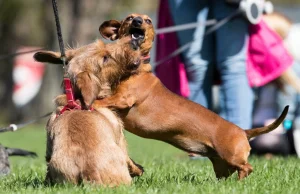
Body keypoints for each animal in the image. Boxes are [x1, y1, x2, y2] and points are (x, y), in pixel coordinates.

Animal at [34, 37, 144, 185]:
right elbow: (128, 157)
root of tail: (89, 169)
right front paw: (138, 169)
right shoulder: (120, 137)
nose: (134, 41)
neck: (77, 99)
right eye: (105, 58)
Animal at [88, 13, 288, 180]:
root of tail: (243, 131)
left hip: (232, 156)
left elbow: (100, 102)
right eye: (129, 18)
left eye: (148, 20)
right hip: (222, 164)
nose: (137, 21)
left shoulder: (123, 99)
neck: (133, 69)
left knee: (248, 168)